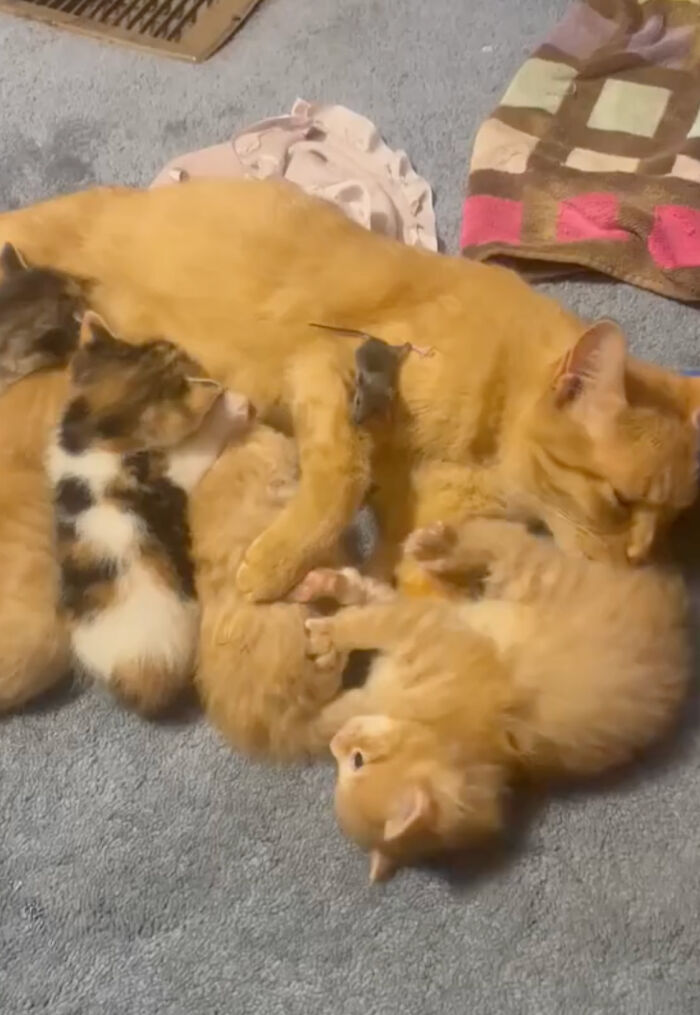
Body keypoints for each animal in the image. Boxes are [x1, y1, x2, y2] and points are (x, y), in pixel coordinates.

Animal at [46, 312, 249, 718]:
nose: (192, 354)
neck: (97, 433)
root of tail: (140, 684)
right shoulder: (168, 476)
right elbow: (198, 449)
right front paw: (230, 407)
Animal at [296, 519, 689, 885]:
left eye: (357, 761)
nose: (338, 744)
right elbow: (373, 606)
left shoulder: (421, 629)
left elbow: (365, 624)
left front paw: (326, 640)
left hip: (538, 577)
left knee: (502, 539)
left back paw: (436, 546)